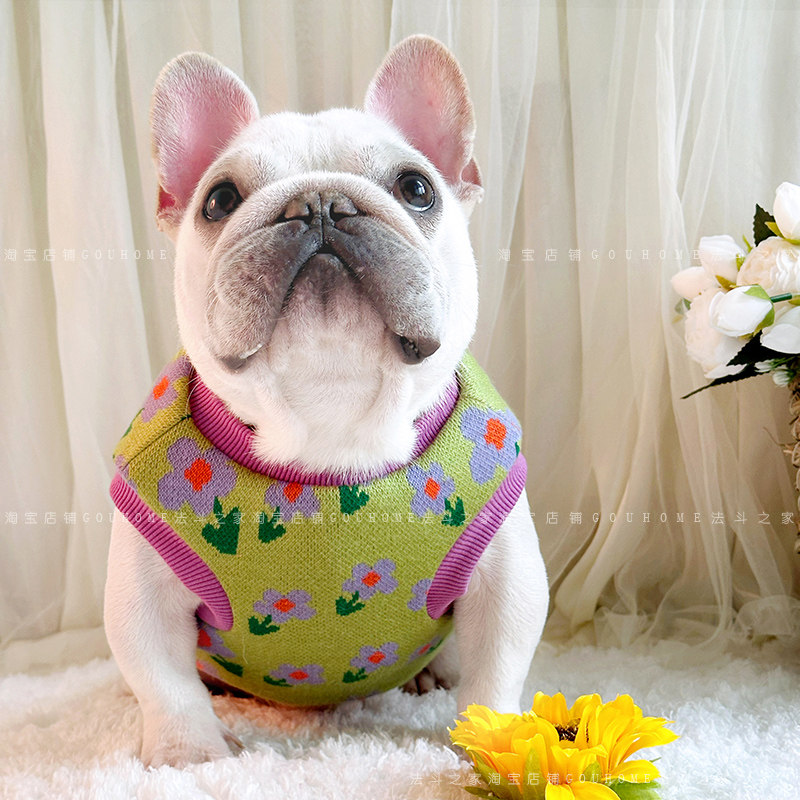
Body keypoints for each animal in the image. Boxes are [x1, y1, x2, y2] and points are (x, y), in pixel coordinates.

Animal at [104, 34, 548, 768]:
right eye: (219, 199)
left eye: (416, 187)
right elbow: (160, 677)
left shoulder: (504, 575)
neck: (330, 417)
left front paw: (490, 746)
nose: (317, 203)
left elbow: (496, 668)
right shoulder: (144, 586)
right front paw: (189, 755)